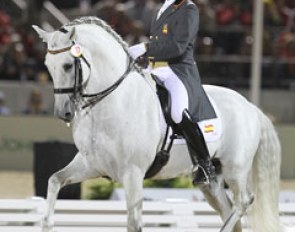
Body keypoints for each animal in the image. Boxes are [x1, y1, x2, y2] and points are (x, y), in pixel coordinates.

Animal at [32, 17, 284, 232]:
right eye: (47, 65)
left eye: (67, 65)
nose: (63, 113)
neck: (111, 103)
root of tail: (250, 107)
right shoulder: (91, 165)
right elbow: (54, 180)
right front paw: (47, 224)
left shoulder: (132, 173)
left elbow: (134, 224)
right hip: (211, 181)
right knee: (229, 209)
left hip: (235, 169)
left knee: (243, 202)